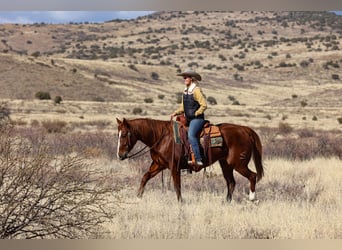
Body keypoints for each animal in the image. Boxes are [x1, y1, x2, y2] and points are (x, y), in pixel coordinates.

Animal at [116, 117, 264, 203]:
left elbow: (177, 186)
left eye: (124, 134)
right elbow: (145, 177)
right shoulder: (158, 165)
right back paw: (226, 202)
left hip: (239, 164)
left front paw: (180, 202)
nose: (120, 155)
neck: (162, 137)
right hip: (226, 165)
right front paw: (138, 196)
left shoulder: (174, 167)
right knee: (231, 183)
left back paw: (252, 198)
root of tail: (245, 130)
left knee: (252, 175)